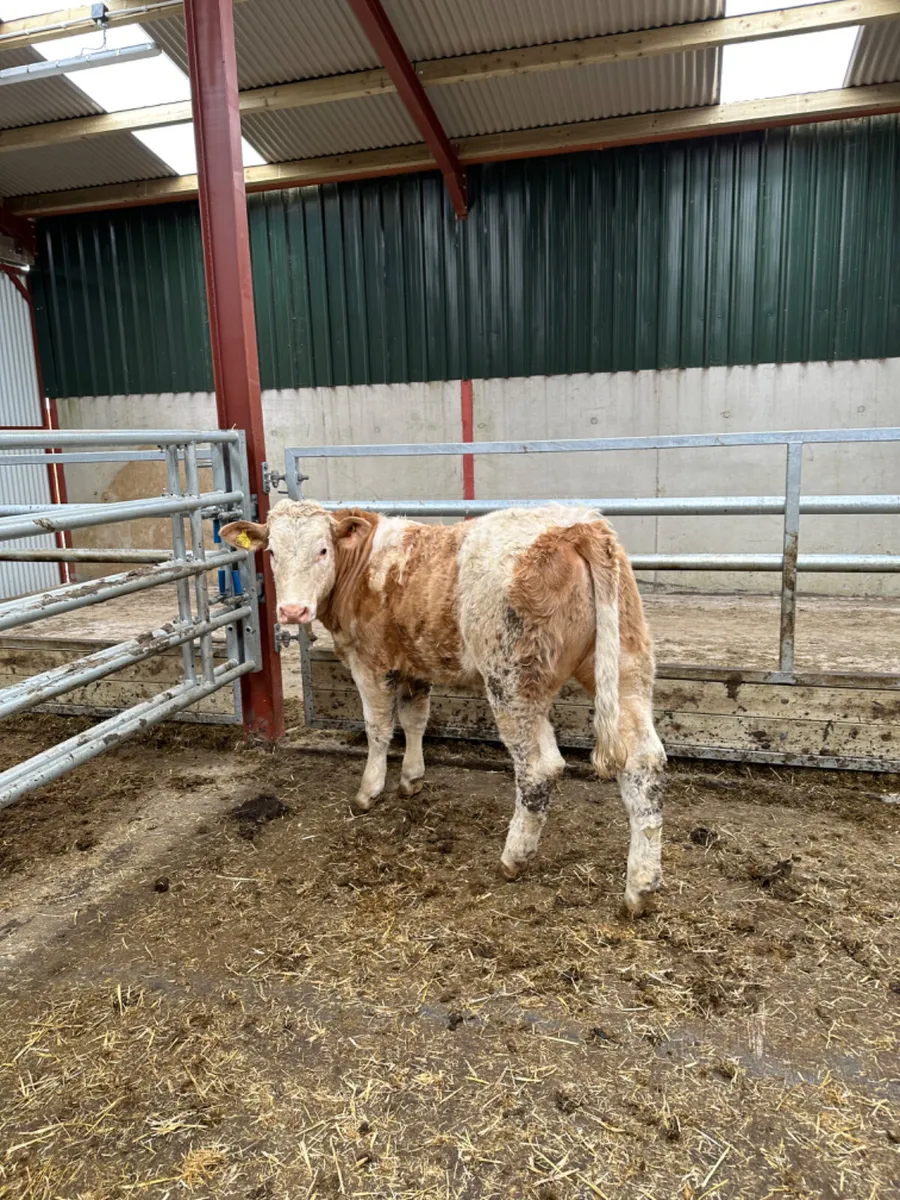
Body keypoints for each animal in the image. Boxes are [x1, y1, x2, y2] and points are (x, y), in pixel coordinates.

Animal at [221, 501, 666, 915]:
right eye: (272, 552)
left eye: (323, 549)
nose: (292, 611)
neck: (364, 563)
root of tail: (576, 524)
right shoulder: (414, 665)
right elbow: (415, 720)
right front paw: (411, 778)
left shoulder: (371, 663)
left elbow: (378, 727)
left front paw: (369, 791)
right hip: (627, 667)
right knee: (643, 762)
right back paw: (640, 887)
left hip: (512, 681)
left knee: (540, 768)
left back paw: (514, 858)